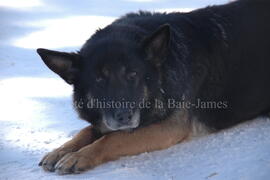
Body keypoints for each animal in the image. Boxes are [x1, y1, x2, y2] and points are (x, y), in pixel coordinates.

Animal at [36, 0, 270, 174]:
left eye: (133, 75)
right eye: (99, 80)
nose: (124, 116)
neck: (162, 72)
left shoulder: (169, 127)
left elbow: (112, 138)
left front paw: (80, 155)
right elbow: (88, 130)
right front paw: (62, 150)